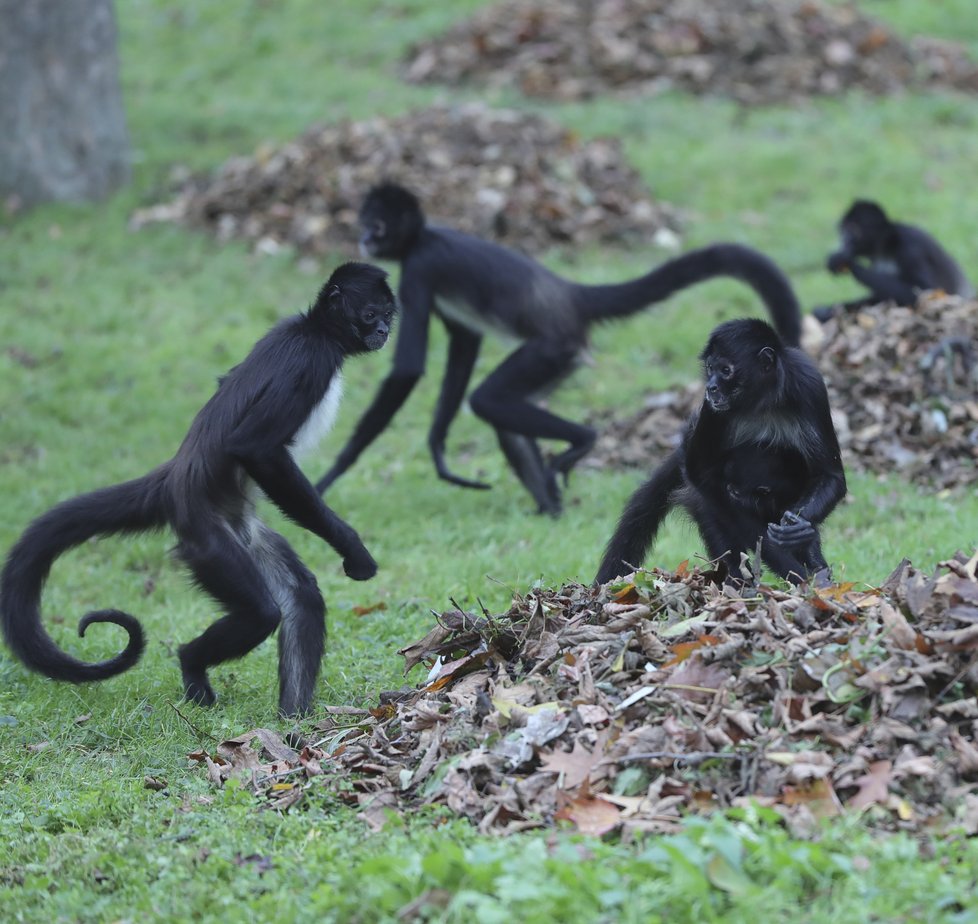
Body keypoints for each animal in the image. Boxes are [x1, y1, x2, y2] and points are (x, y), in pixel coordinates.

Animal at [1, 260, 396, 716]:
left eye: (389, 315)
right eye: (370, 314)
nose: (383, 330)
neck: (313, 329)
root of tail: (174, 480)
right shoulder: (310, 361)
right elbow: (256, 448)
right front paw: (354, 549)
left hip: (244, 535)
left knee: (301, 595)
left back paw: (292, 719)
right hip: (207, 541)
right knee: (261, 612)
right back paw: (190, 661)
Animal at [312, 180, 800, 512]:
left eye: (375, 226)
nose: (364, 239)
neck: (424, 237)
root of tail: (569, 295)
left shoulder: (418, 269)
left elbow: (410, 368)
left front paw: (330, 475)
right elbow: (465, 342)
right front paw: (437, 448)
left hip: (552, 348)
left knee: (489, 399)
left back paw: (582, 442)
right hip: (557, 363)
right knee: (503, 413)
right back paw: (549, 509)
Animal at [592, 318, 844, 584]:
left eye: (726, 370)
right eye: (710, 367)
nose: (710, 386)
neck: (761, 402)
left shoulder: (809, 384)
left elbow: (831, 476)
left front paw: (800, 535)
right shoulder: (712, 408)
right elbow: (702, 477)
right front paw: (798, 572)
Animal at [808, 198, 968, 322]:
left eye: (852, 230)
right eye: (842, 230)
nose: (843, 240)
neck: (886, 249)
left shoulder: (910, 247)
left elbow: (925, 291)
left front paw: (848, 263)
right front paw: (826, 311)